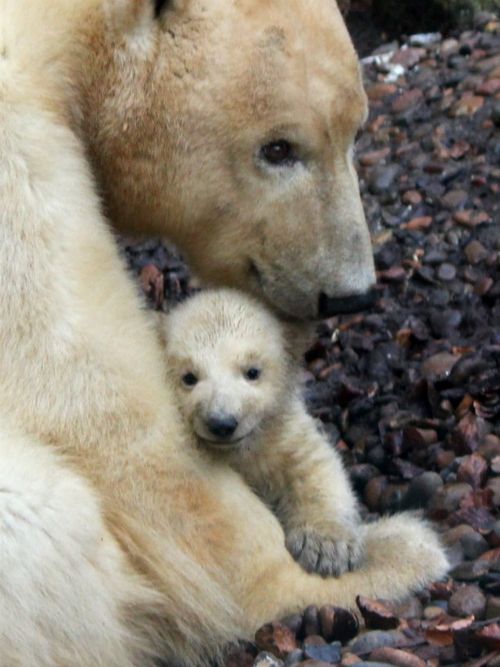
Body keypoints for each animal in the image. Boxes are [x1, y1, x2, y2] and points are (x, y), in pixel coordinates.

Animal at [0, 1, 446, 667]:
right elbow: (106, 410)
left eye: (356, 131)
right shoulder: (14, 153)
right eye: (278, 148)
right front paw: (390, 551)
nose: (350, 293)